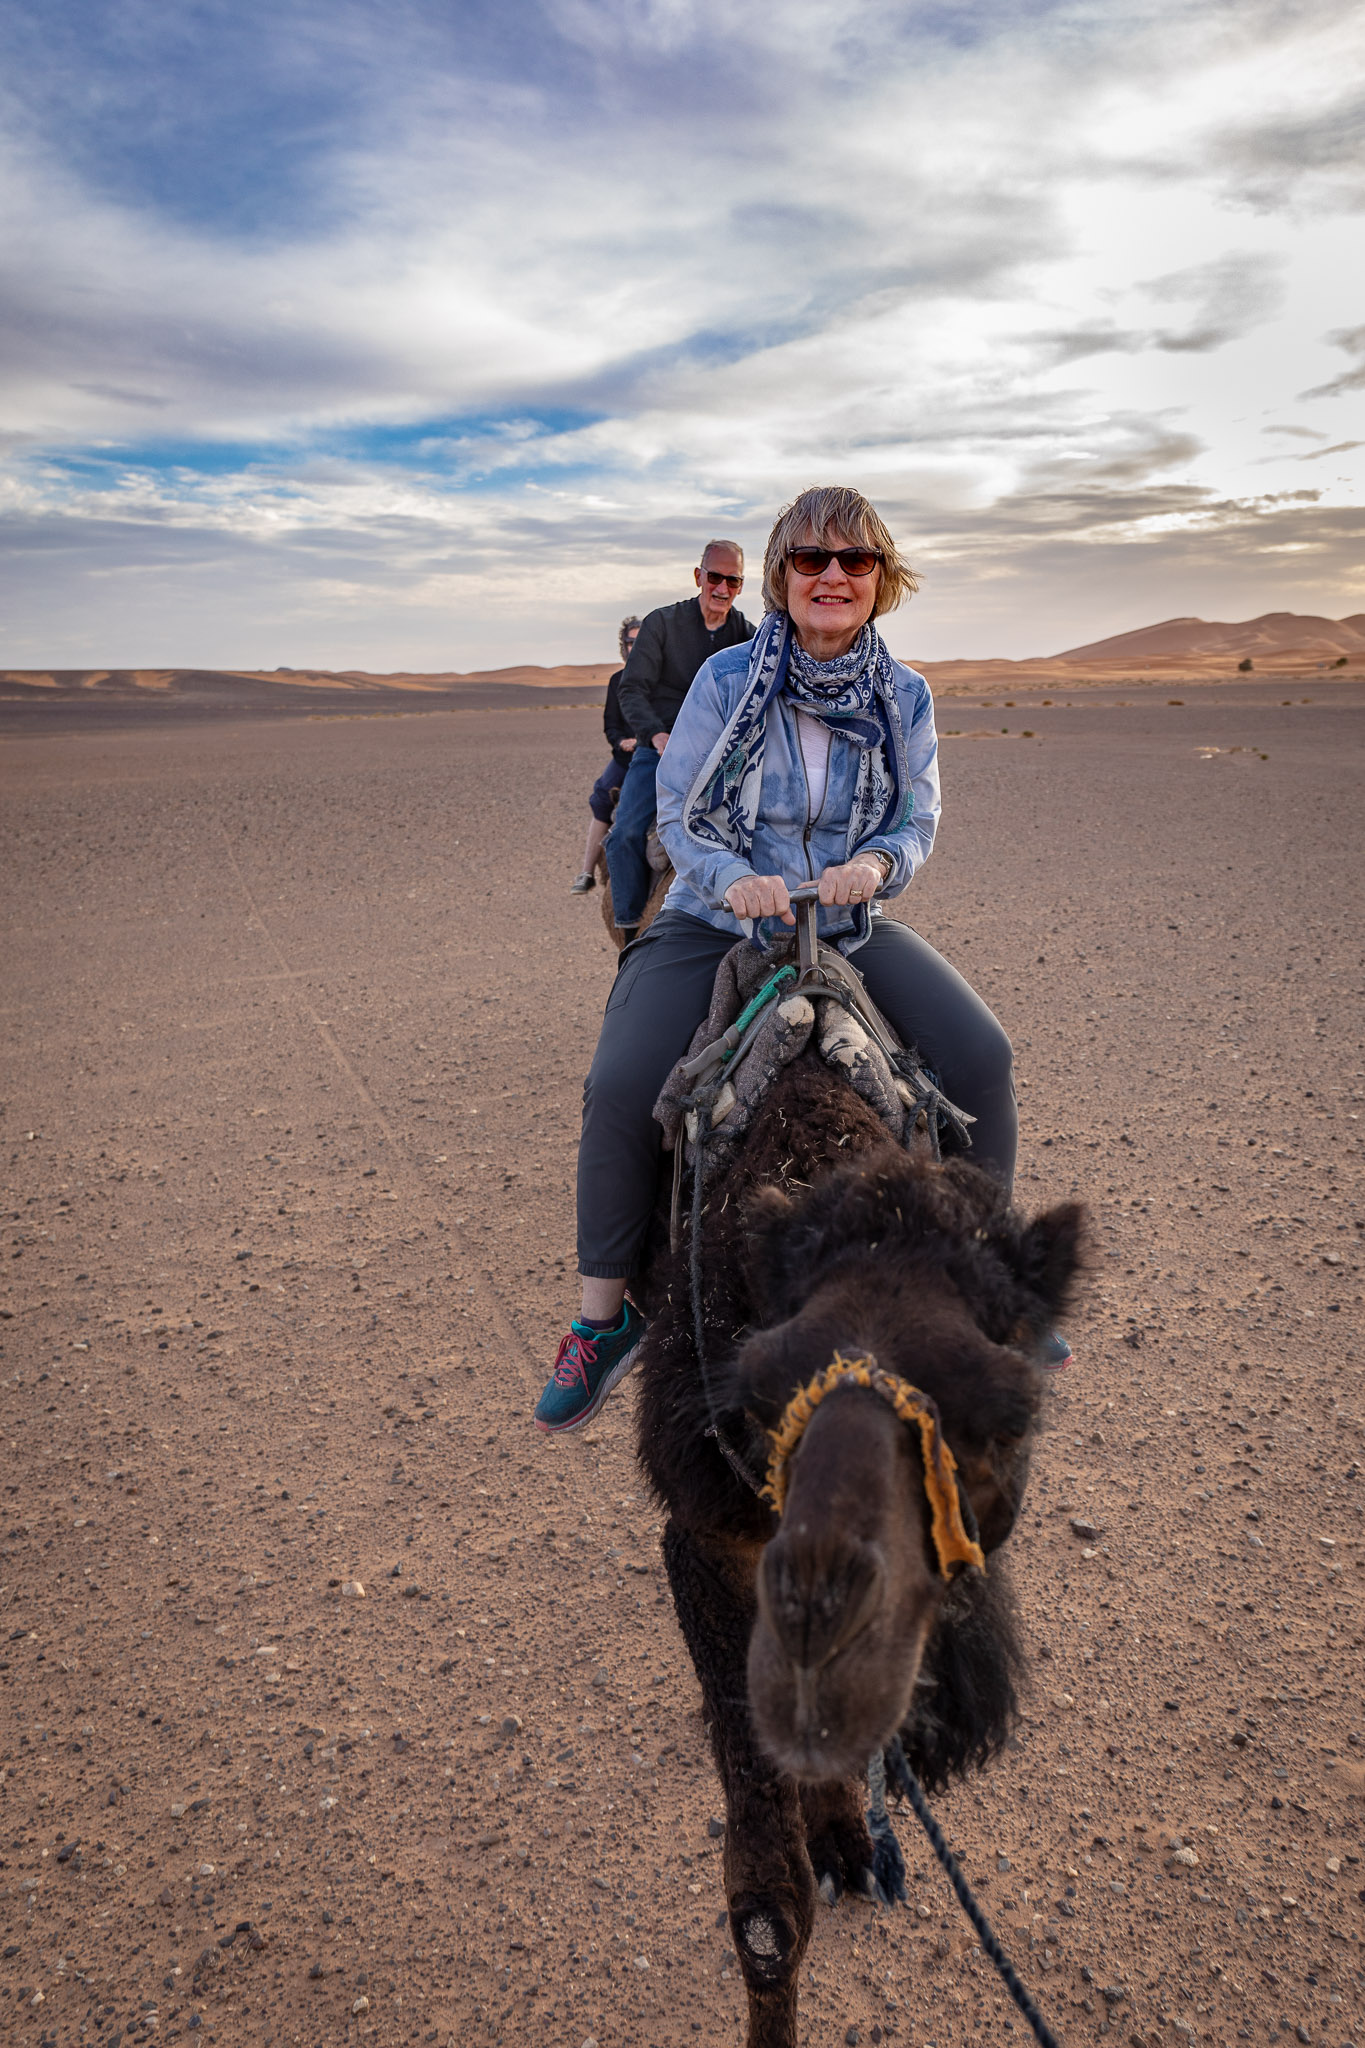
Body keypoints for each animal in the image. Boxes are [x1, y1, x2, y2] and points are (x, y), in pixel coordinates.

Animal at [634, 1056, 1080, 2048]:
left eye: (1011, 1417)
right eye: (755, 1393)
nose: (826, 1613)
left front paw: (846, 1839)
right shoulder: (700, 1533)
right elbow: (765, 1910)